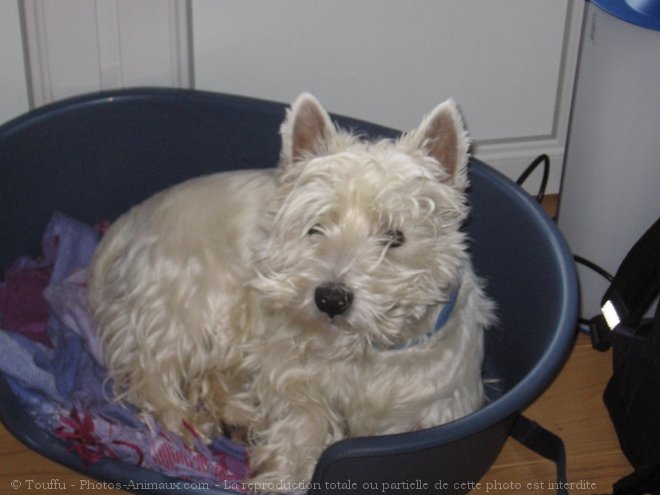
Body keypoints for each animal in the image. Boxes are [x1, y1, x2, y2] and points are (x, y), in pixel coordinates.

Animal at [90, 93, 498, 484]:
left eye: (395, 236)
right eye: (315, 228)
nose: (330, 298)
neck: (366, 353)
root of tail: (133, 218)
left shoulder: (444, 404)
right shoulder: (287, 370)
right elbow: (304, 425)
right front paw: (284, 478)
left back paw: (239, 416)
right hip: (190, 303)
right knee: (148, 371)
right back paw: (188, 422)